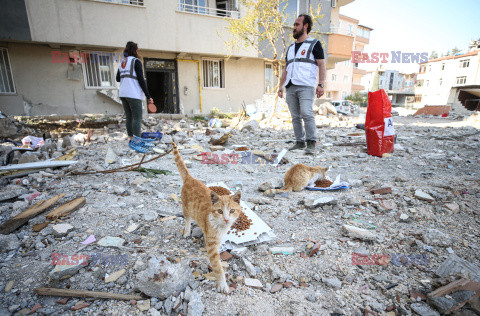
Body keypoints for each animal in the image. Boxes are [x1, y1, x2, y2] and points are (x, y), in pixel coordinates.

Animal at [171, 142, 242, 292]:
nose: (226, 219)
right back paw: (187, 231)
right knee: (187, 219)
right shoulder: (212, 244)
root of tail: (190, 178)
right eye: (220, 211)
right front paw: (222, 284)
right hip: (186, 207)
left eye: (232, 210)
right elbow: (217, 266)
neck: (220, 227)